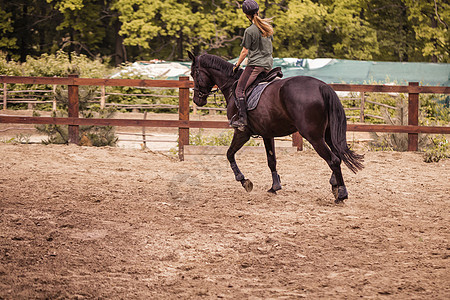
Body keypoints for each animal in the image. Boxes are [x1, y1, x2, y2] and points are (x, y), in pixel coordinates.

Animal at [188, 51, 364, 203]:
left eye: (193, 74)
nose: (197, 100)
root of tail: (322, 86)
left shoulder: (241, 132)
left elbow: (229, 154)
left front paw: (244, 180)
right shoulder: (267, 134)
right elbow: (271, 160)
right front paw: (275, 186)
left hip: (313, 136)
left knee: (333, 160)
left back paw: (341, 194)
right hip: (327, 134)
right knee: (338, 156)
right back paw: (334, 185)